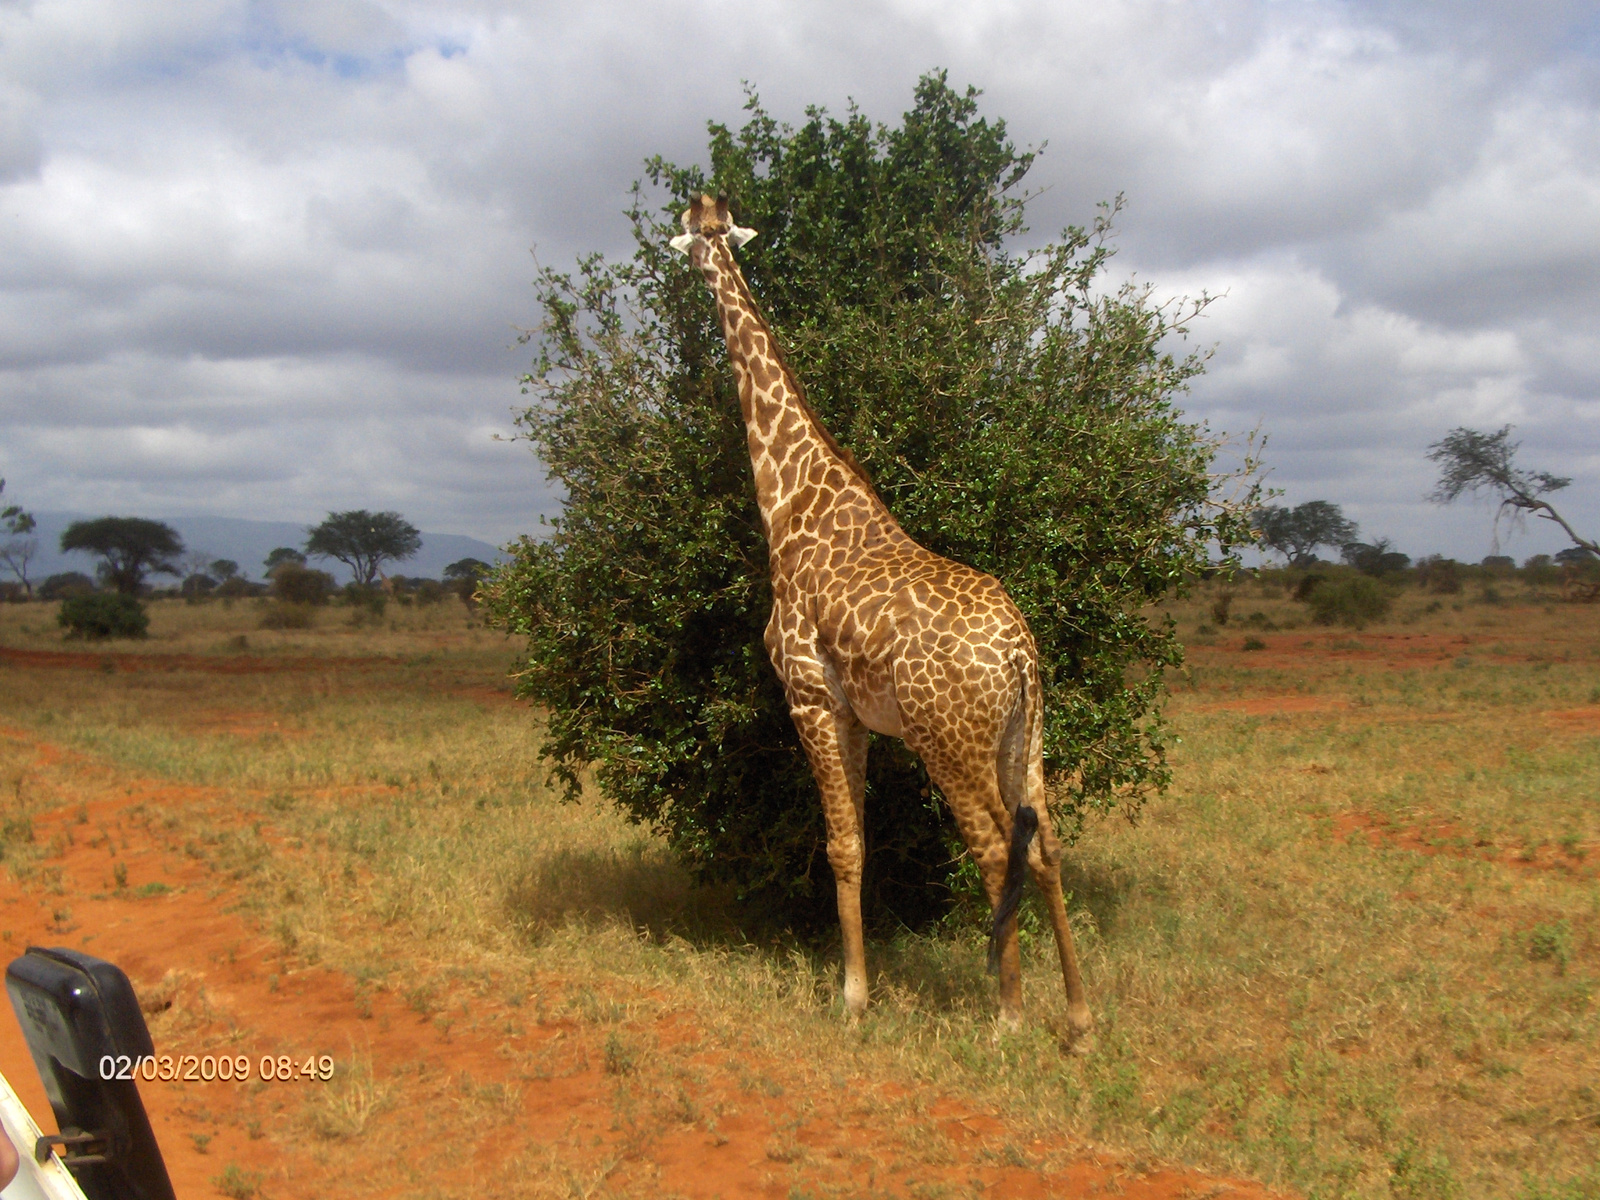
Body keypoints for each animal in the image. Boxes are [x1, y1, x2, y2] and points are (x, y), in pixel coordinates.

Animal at [668, 192, 1094, 1049]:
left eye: (695, 231)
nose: (686, 256)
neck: (792, 498)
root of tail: (1021, 654)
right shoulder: (857, 716)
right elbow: (858, 846)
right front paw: (859, 988)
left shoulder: (808, 697)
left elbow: (839, 847)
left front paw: (853, 997)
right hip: (1025, 736)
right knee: (1048, 850)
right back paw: (1077, 1017)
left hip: (949, 743)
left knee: (995, 853)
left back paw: (1008, 1017)